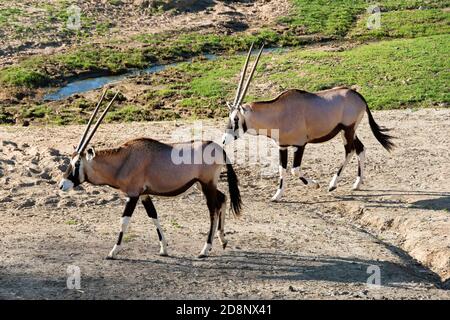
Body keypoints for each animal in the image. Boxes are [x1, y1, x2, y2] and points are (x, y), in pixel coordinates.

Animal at [60, 90, 243, 260]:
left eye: (77, 163)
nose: (62, 185)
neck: (124, 160)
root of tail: (219, 148)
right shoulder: (144, 194)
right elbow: (153, 216)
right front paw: (164, 249)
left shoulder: (133, 195)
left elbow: (124, 221)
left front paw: (113, 252)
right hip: (203, 184)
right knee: (222, 198)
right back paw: (222, 240)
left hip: (206, 184)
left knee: (213, 210)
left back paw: (205, 249)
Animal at [221, 43, 394, 201]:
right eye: (229, 117)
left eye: (236, 118)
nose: (223, 140)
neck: (278, 113)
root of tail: (358, 95)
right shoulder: (282, 146)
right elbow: (282, 169)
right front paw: (277, 195)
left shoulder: (300, 144)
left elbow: (294, 170)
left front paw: (315, 184)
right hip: (348, 131)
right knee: (360, 149)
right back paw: (357, 184)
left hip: (347, 130)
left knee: (350, 151)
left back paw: (332, 185)